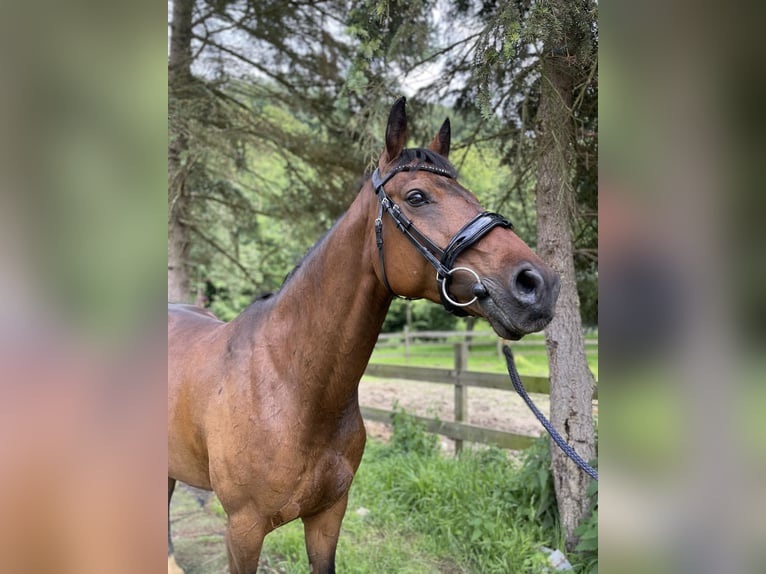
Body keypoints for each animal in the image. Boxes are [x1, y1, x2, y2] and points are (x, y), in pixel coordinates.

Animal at [168, 97, 560, 572]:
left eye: (472, 196)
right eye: (417, 197)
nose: (538, 284)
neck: (291, 385)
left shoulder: (327, 519)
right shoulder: (242, 531)